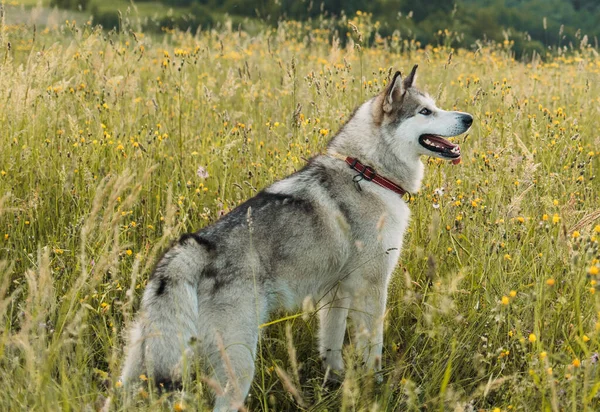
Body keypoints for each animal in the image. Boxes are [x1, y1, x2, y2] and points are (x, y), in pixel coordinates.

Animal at [120, 64, 474, 408]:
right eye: (425, 111)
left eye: (435, 106)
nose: (469, 118)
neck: (369, 172)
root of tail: (191, 250)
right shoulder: (371, 288)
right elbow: (372, 349)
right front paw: (377, 389)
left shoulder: (337, 294)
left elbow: (331, 346)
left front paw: (335, 385)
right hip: (239, 364)